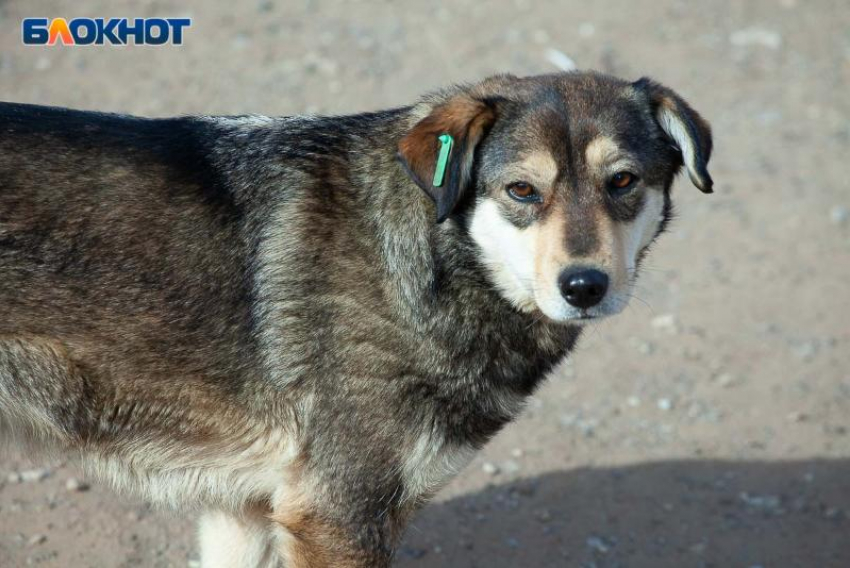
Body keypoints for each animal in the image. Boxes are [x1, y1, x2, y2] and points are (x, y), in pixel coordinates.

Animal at [0, 73, 708, 564]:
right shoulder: (337, 517)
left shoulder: (245, 511)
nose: (585, 286)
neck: (437, 264)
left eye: (623, 181)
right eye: (522, 191)